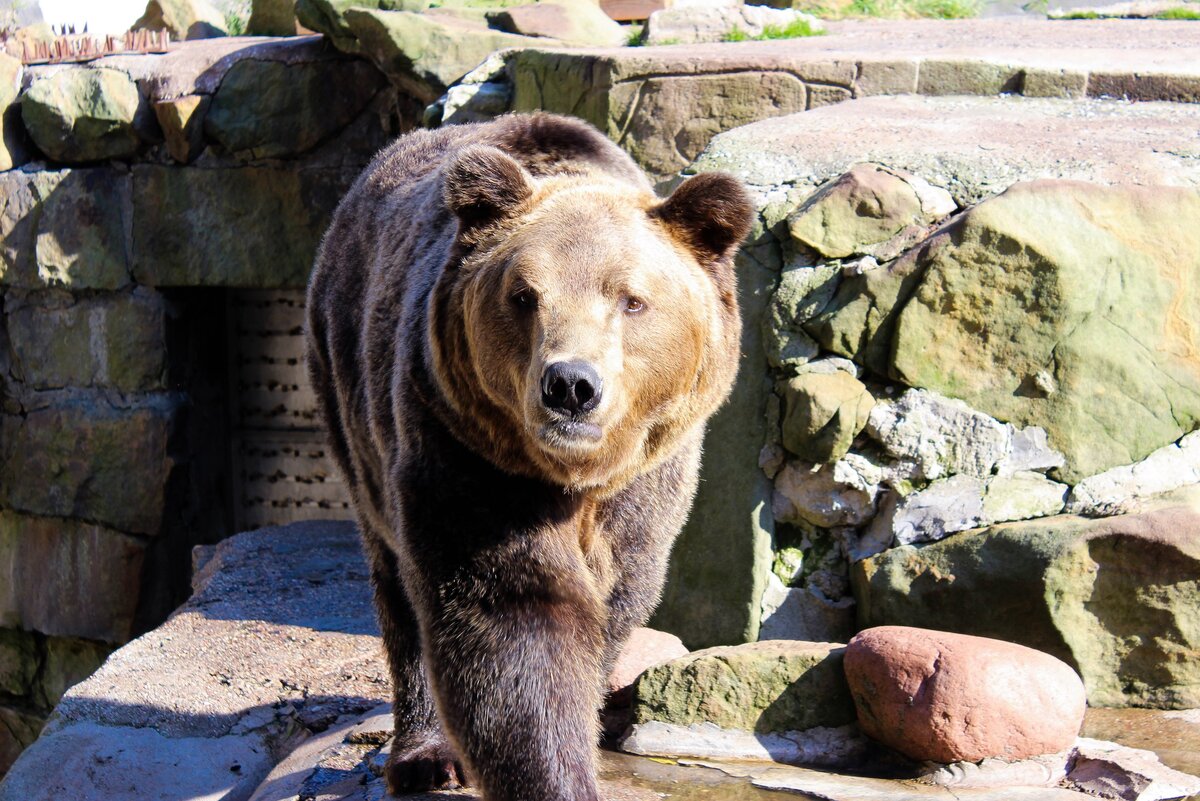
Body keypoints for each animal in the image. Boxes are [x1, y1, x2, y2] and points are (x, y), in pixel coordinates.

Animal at [302, 113, 748, 801]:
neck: (578, 477)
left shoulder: (648, 484)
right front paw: (553, 775)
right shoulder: (467, 448)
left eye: (631, 299)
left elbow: (613, 603)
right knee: (396, 581)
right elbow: (512, 619)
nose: (570, 385)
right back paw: (424, 754)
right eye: (524, 295)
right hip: (350, 389)